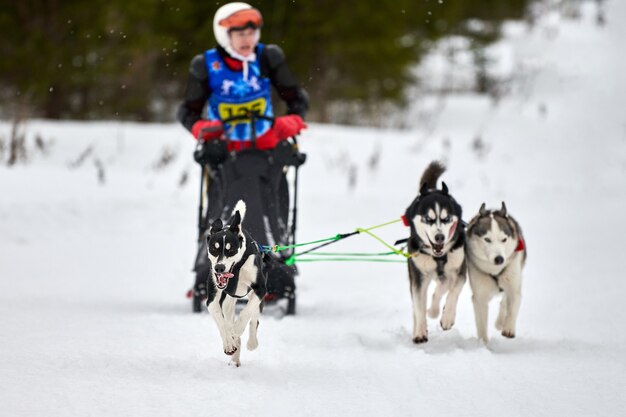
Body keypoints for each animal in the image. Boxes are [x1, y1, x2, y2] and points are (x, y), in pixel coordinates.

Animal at [204, 200, 264, 366]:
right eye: (214, 249)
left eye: (231, 250)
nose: (219, 267)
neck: (237, 268)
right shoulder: (212, 299)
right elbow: (222, 322)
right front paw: (229, 342)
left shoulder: (260, 289)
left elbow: (245, 313)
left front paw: (236, 330)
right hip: (228, 302)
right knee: (228, 316)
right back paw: (235, 355)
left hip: (254, 297)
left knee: (254, 319)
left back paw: (251, 342)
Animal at [404, 161, 464, 342]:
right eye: (428, 219)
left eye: (446, 218)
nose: (439, 237)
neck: (439, 257)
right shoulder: (418, 277)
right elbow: (419, 306)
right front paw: (420, 331)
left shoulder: (460, 271)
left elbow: (452, 292)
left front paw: (446, 317)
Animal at [466, 202, 524, 342]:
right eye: (487, 239)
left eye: (504, 239)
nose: (499, 259)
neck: (494, 270)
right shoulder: (479, 297)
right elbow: (481, 326)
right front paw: (483, 343)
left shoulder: (514, 284)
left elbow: (513, 303)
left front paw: (508, 328)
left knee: (504, 300)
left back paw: (500, 322)